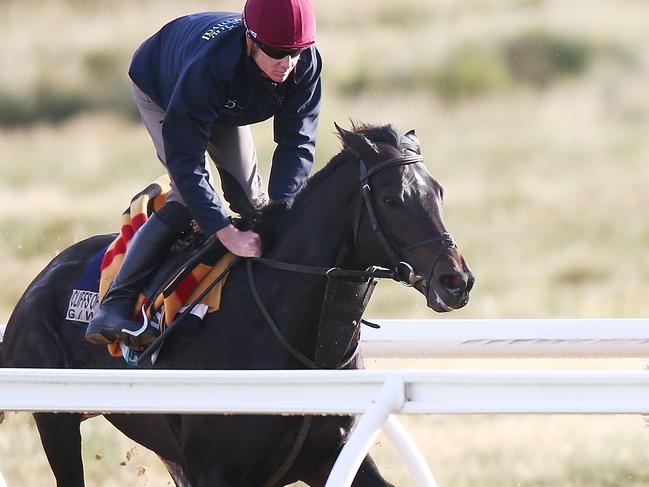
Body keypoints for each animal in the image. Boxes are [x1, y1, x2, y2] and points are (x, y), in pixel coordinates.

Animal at [0, 123, 470, 487]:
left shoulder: (329, 456)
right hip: (56, 419)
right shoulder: (214, 469)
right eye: (392, 200)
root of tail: (43, 277)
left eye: (440, 192)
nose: (457, 281)